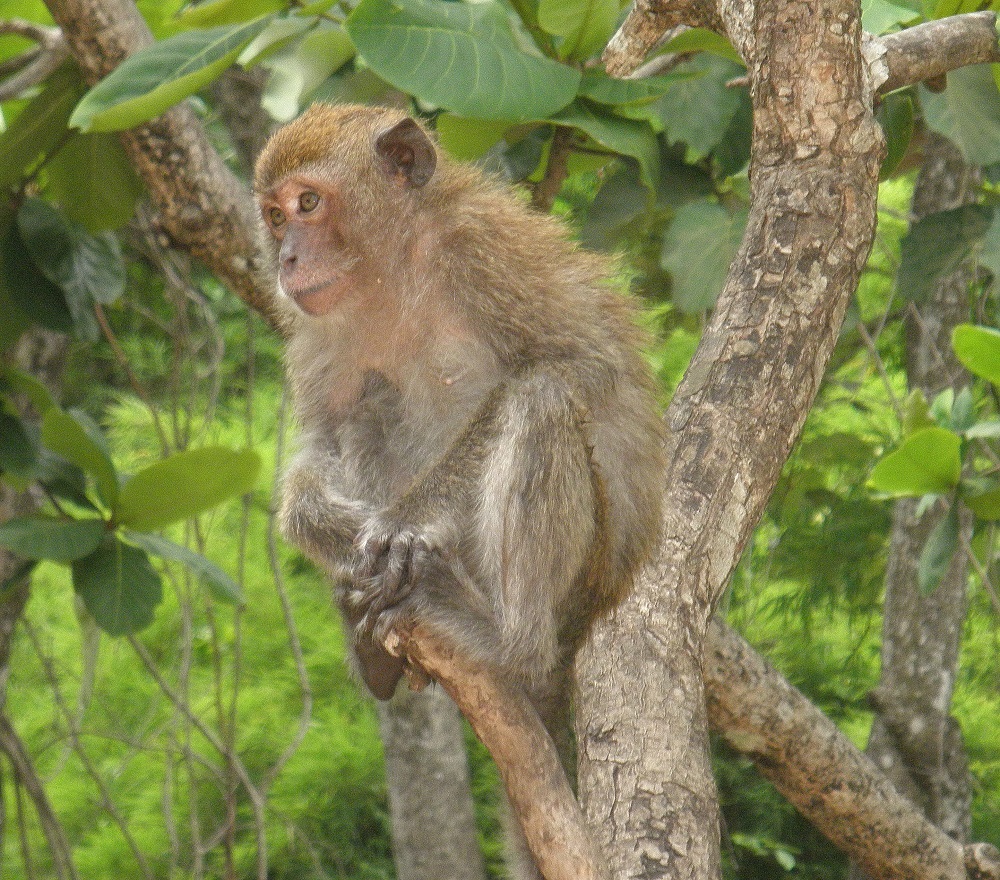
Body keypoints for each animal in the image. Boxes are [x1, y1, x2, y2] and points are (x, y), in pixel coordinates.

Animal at [254, 103, 665, 878]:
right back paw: (378, 654)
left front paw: (408, 520)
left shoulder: (484, 251)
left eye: (309, 204)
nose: (286, 259)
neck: (391, 270)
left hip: (579, 581)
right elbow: (324, 441)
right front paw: (317, 519)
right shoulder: (314, 329)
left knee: (542, 399)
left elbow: (580, 363)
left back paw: (506, 643)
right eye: (273, 216)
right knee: (371, 403)